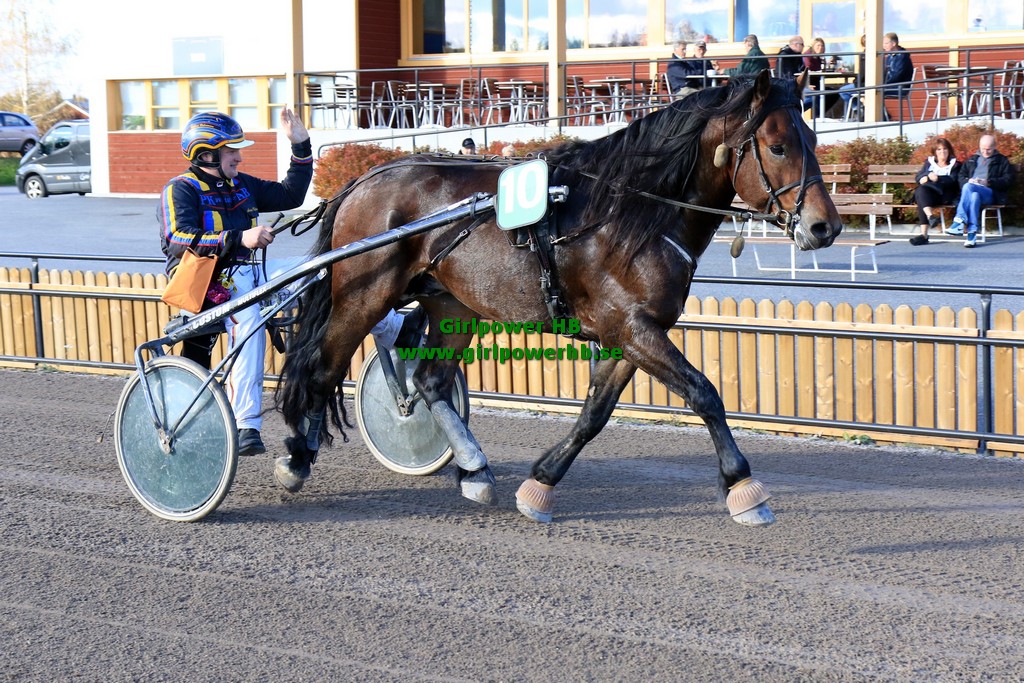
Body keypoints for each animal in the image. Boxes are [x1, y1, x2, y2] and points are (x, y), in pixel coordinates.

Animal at [275, 70, 841, 527]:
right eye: (777, 146)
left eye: (813, 138)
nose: (826, 226)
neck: (632, 213)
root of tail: (364, 180)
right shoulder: (632, 327)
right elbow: (704, 394)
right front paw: (744, 488)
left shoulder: (630, 334)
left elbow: (595, 413)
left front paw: (540, 485)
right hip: (363, 294)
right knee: (323, 369)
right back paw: (297, 458)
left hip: (453, 303)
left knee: (430, 381)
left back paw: (475, 471)